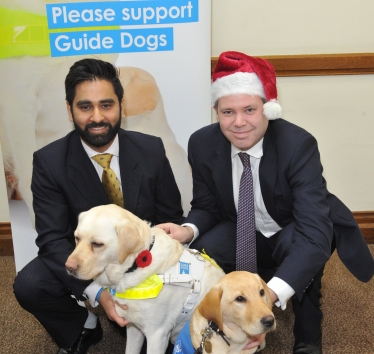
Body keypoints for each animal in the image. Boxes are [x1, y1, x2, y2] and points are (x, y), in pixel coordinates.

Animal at [65, 205, 224, 354]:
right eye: (77, 238)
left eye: (97, 244)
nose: (68, 267)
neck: (133, 267)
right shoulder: (133, 326)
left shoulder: (157, 336)